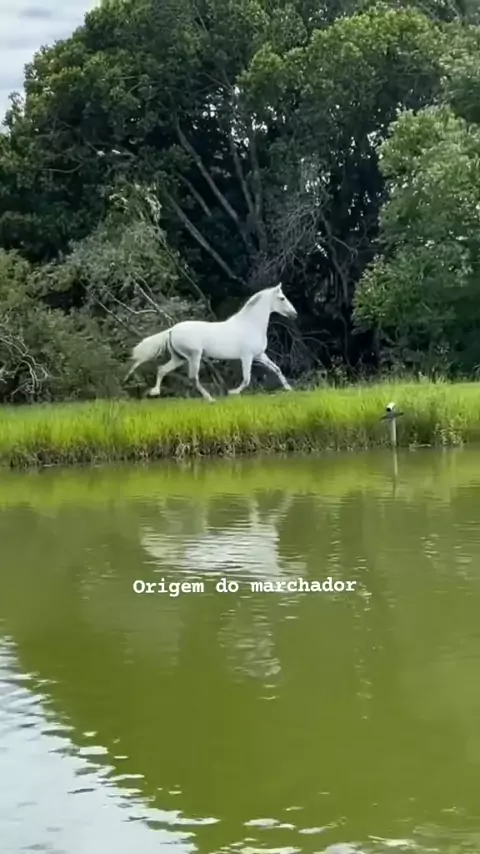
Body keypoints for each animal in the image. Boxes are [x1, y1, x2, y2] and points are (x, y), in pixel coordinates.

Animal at [125, 283, 297, 402]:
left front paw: (289, 389)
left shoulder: (260, 355)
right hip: (194, 356)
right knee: (193, 378)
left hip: (179, 358)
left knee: (162, 369)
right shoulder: (246, 356)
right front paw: (232, 392)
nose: (294, 314)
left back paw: (155, 391)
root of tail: (172, 329)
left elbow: (277, 369)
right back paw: (209, 398)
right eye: (282, 298)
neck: (250, 324)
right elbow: (246, 379)